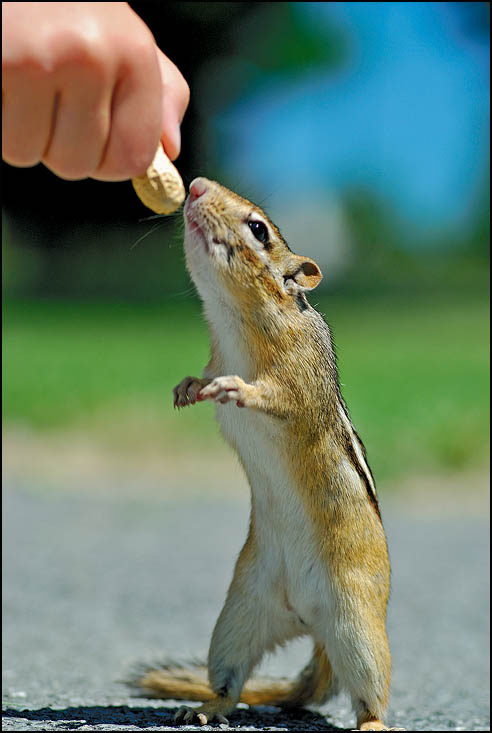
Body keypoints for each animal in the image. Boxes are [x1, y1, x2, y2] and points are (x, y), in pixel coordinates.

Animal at [132, 178, 399, 731]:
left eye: (259, 229)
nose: (196, 185)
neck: (234, 321)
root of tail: (308, 622)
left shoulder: (299, 380)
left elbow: (277, 397)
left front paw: (238, 389)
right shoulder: (215, 358)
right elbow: (204, 377)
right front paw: (188, 388)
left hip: (359, 628)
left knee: (369, 695)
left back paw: (375, 723)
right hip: (238, 616)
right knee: (230, 681)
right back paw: (204, 708)